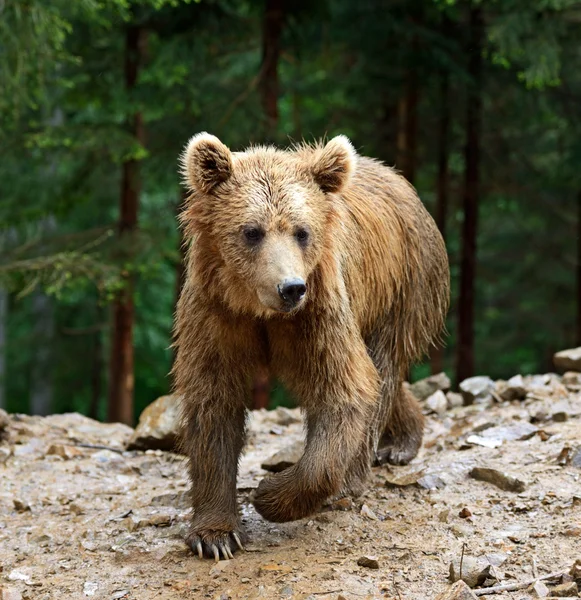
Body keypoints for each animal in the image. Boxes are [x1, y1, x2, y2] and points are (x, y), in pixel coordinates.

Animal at [172, 132, 448, 564]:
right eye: (252, 231)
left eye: (301, 231)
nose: (290, 287)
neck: (258, 310)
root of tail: (399, 179)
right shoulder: (216, 313)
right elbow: (213, 401)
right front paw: (215, 535)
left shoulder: (317, 312)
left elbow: (343, 391)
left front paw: (270, 493)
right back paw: (402, 439)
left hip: (403, 286)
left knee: (382, 368)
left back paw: (374, 461)